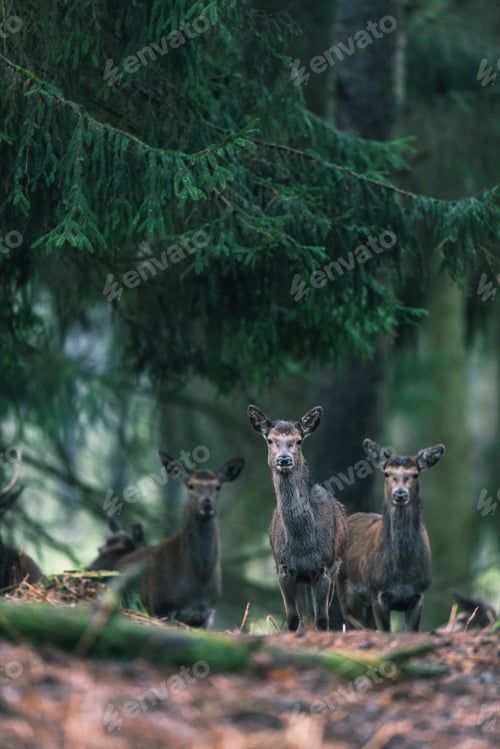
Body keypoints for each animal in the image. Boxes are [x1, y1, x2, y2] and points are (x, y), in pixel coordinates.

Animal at [247, 404, 347, 635]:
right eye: (270, 440)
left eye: (299, 440)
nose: (284, 459)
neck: (303, 546)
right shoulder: (283, 569)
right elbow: (293, 618)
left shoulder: (324, 568)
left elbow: (322, 620)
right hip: (300, 579)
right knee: (303, 616)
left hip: (334, 570)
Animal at [336, 438, 445, 632]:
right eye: (387, 473)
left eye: (415, 474)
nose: (400, 493)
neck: (402, 573)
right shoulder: (378, 592)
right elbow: (385, 631)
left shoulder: (419, 594)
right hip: (344, 589)